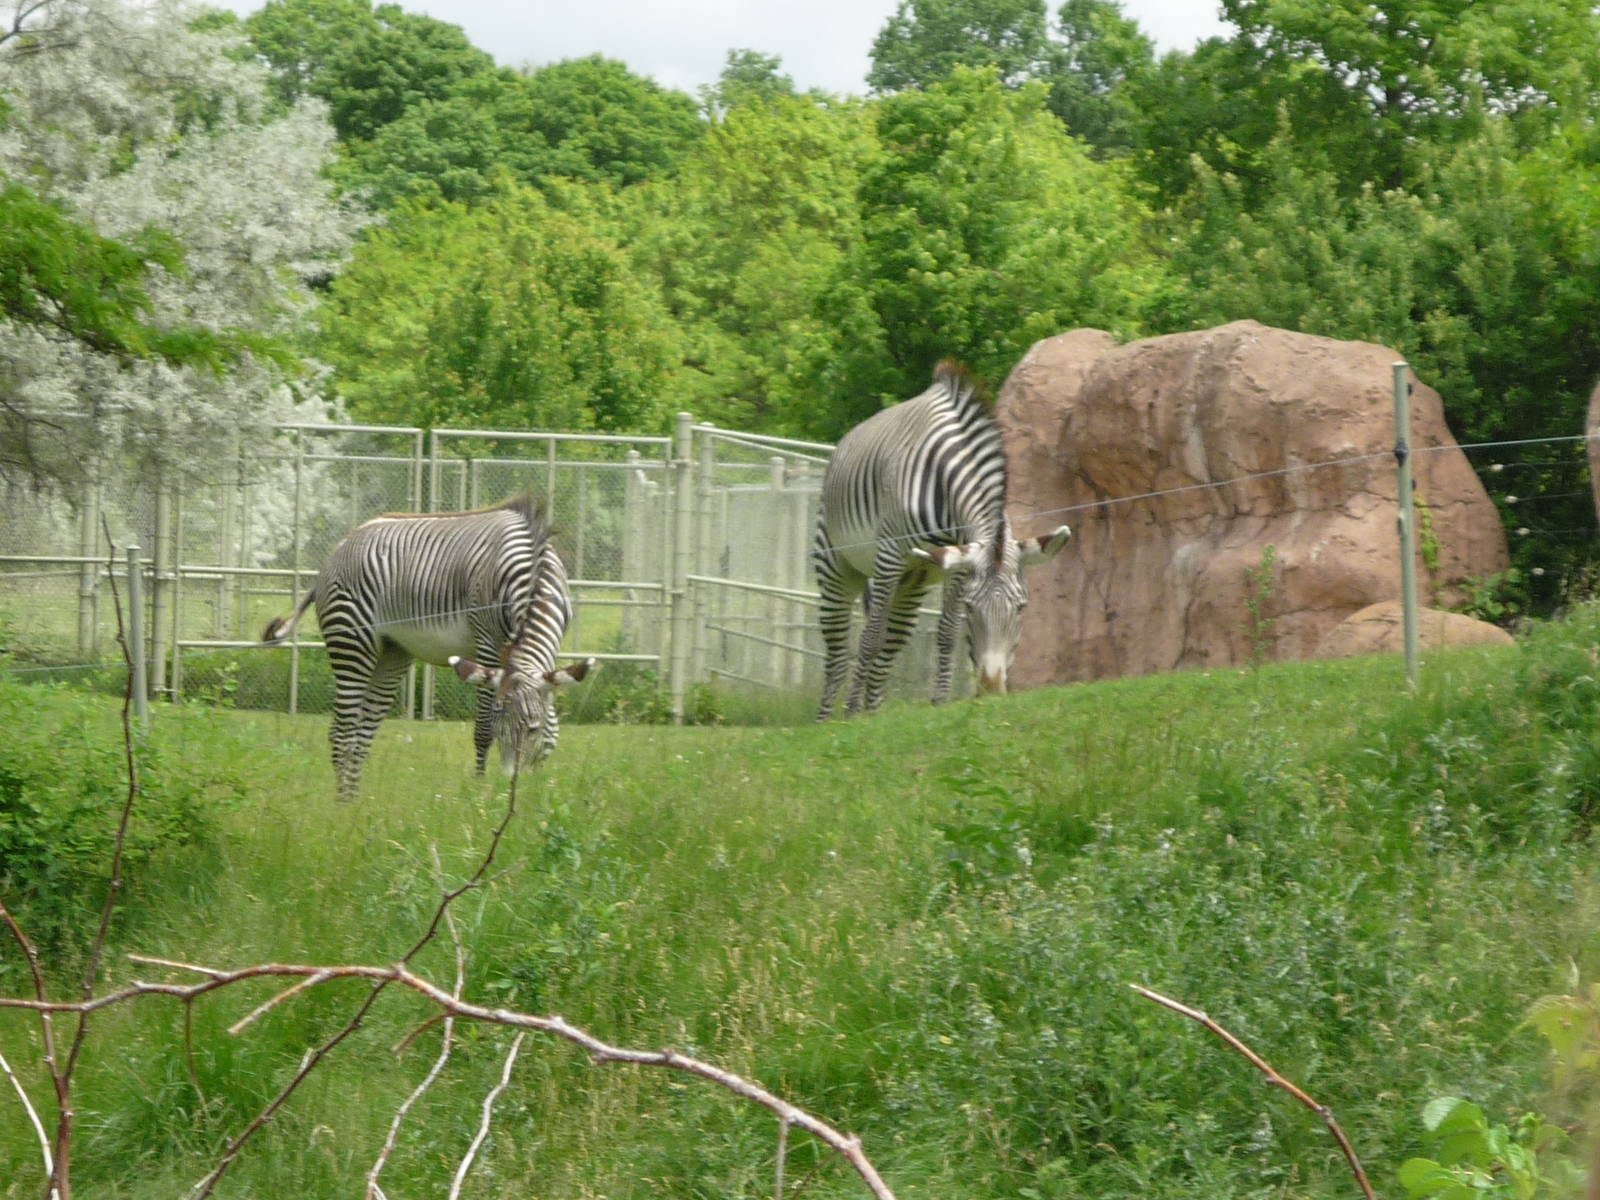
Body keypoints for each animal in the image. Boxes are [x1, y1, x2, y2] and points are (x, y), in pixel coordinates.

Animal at [262, 494, 593, 800]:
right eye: (501, 729)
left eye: (532, 729)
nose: (509, 786)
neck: (534, 576)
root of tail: (341, 545)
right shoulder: (487, 645)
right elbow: (482, 730)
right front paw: (481, 796)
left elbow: (552, 734)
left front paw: (535, 794)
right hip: (352, 642)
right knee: (342, 731)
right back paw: (342, 807)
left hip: (392, 653)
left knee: (362, 732)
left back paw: (354, 803)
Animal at [812, 361, 1071, 720]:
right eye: (972, 607)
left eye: (1021, 607)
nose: (992, 690)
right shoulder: (890, 554)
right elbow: (870, 636)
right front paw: (851, 713)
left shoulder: (958, 565)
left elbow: (947, 632)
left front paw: (941, 701)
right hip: (838, 569)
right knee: (838, 650)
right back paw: (829, 718)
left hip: (911, 582)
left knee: (891, 643)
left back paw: (873, 712)